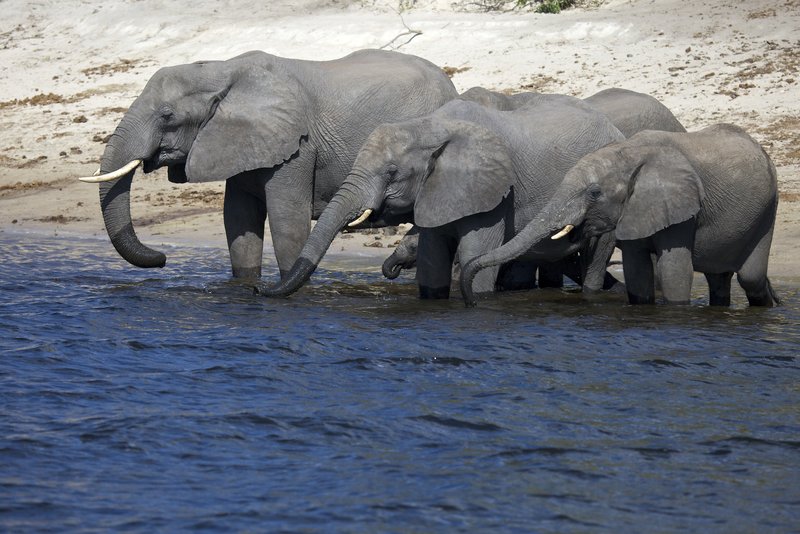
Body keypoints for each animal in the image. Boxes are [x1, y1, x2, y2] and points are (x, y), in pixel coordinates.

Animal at [78, 49, 457, 279]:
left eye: (167, 116)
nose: (162, 258)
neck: (222, 69)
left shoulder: (297, 147)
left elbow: (287, 222)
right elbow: (238, 220)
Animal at [255, 95, 626, 299]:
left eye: (392, 173)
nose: (258, 290)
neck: (429, 126)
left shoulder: (492, 191)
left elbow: (476, 254)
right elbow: (432, 258)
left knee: (596, 257)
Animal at [460, 124, 781, 307]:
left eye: (594, 193)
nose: (472, 303)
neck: (630, 152)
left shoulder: (680, 203)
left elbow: (673, 271)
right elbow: (637, 271)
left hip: (769, 208)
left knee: (750, 277)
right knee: (719, 278)